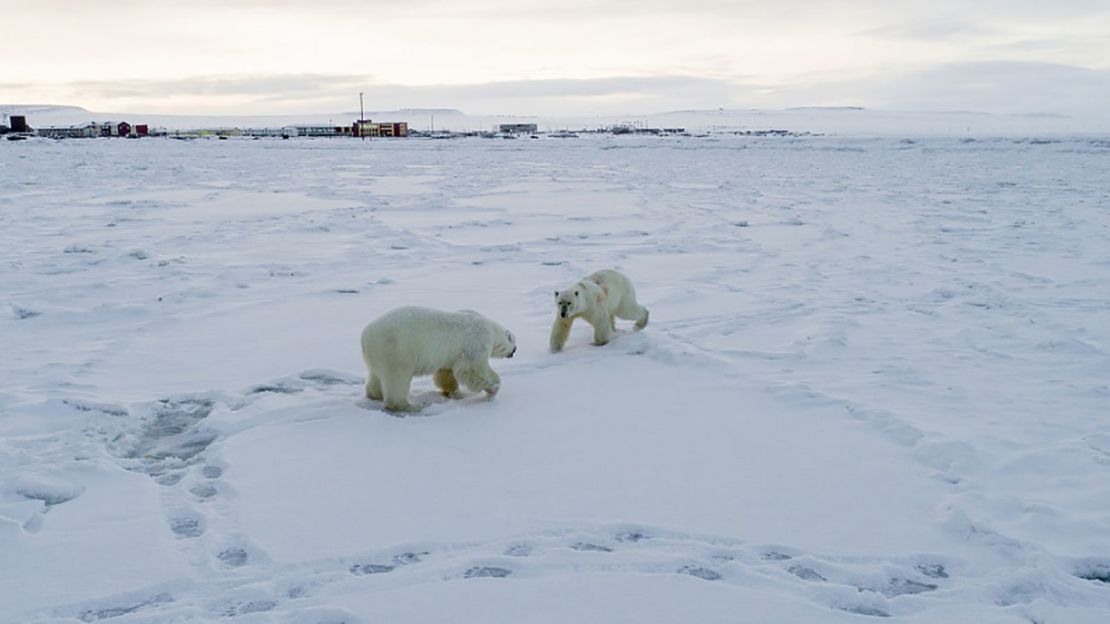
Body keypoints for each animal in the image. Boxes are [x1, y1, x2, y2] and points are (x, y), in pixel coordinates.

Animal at [364, 304, 519, 410]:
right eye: (514, 343)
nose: (515, 350)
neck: (492, 329)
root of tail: (365, 335)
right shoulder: (476, 341)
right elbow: (472, 369)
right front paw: (494, 388)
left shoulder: (452, 354)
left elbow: (446, 372)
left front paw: (455, 393)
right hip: (396, 351)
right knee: (397, 378)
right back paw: (410, 406)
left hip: (378, 355)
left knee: (376, 375)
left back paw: (375, 394)